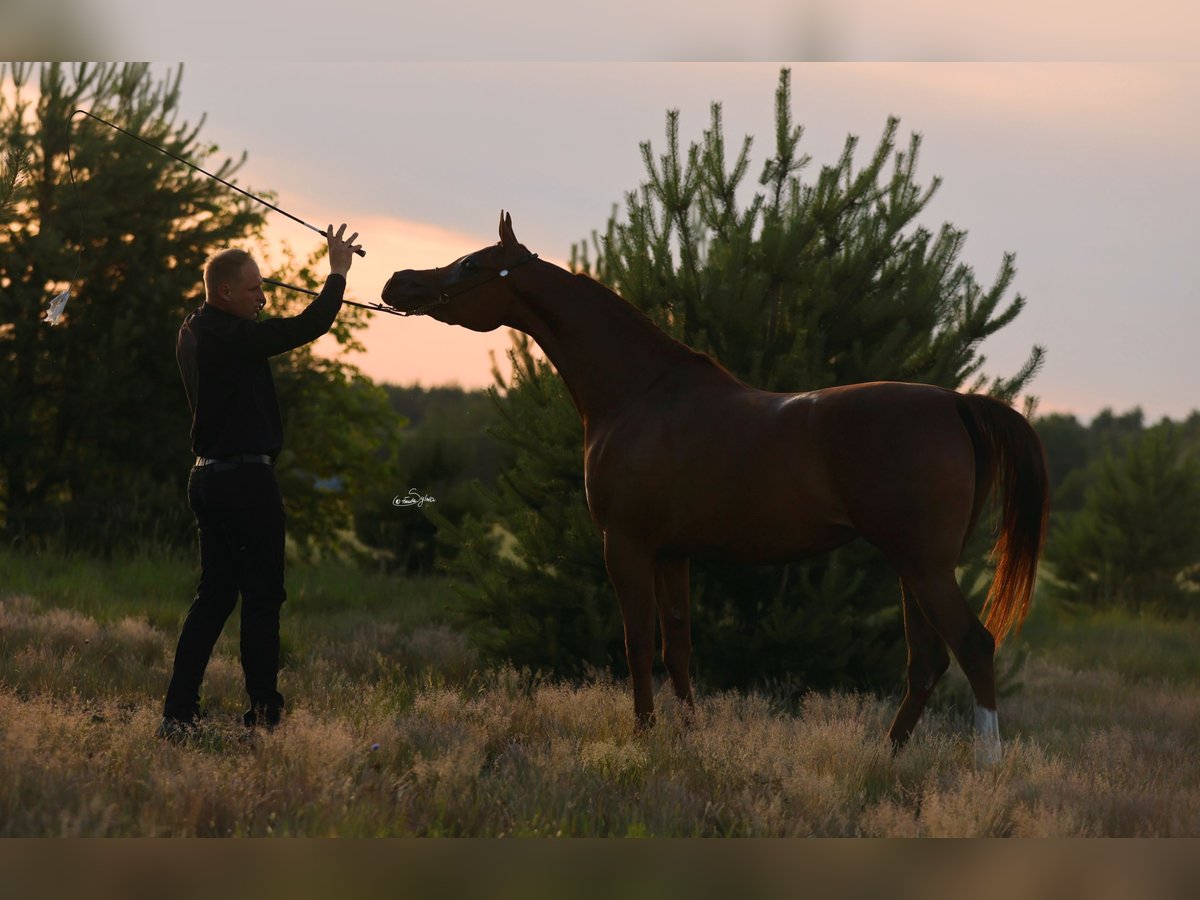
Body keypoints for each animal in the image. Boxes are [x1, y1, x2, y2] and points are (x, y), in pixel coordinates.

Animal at [384, 214, 1051, 763]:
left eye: (471, 265)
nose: (397, 282)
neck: (643, 393)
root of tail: (955, 403)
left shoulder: (626, 545)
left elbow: (636, 643)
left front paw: (643, 736)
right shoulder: (672, 553)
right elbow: (678, 647)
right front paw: (686, 737)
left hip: (924, 564)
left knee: (973, 645)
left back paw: (985, 767)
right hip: (914, 565)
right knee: (927, 661)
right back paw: (885, 758)